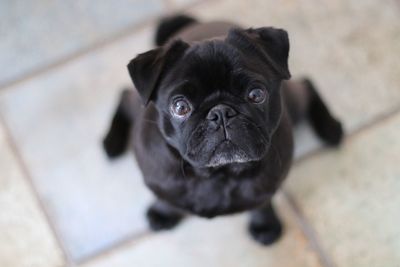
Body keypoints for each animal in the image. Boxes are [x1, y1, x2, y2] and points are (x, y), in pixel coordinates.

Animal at [103, 14, 344, 245]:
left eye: (256, 94)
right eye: (180, 107)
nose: (220, 113)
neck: (219, 174)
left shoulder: (266, 188)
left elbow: (262, 204)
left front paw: (265, 225)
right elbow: (166, 199)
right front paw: (162, 213)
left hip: (294, 104)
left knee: (307, 85)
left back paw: (330, 128)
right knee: (124, 96)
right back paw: (111, 142)